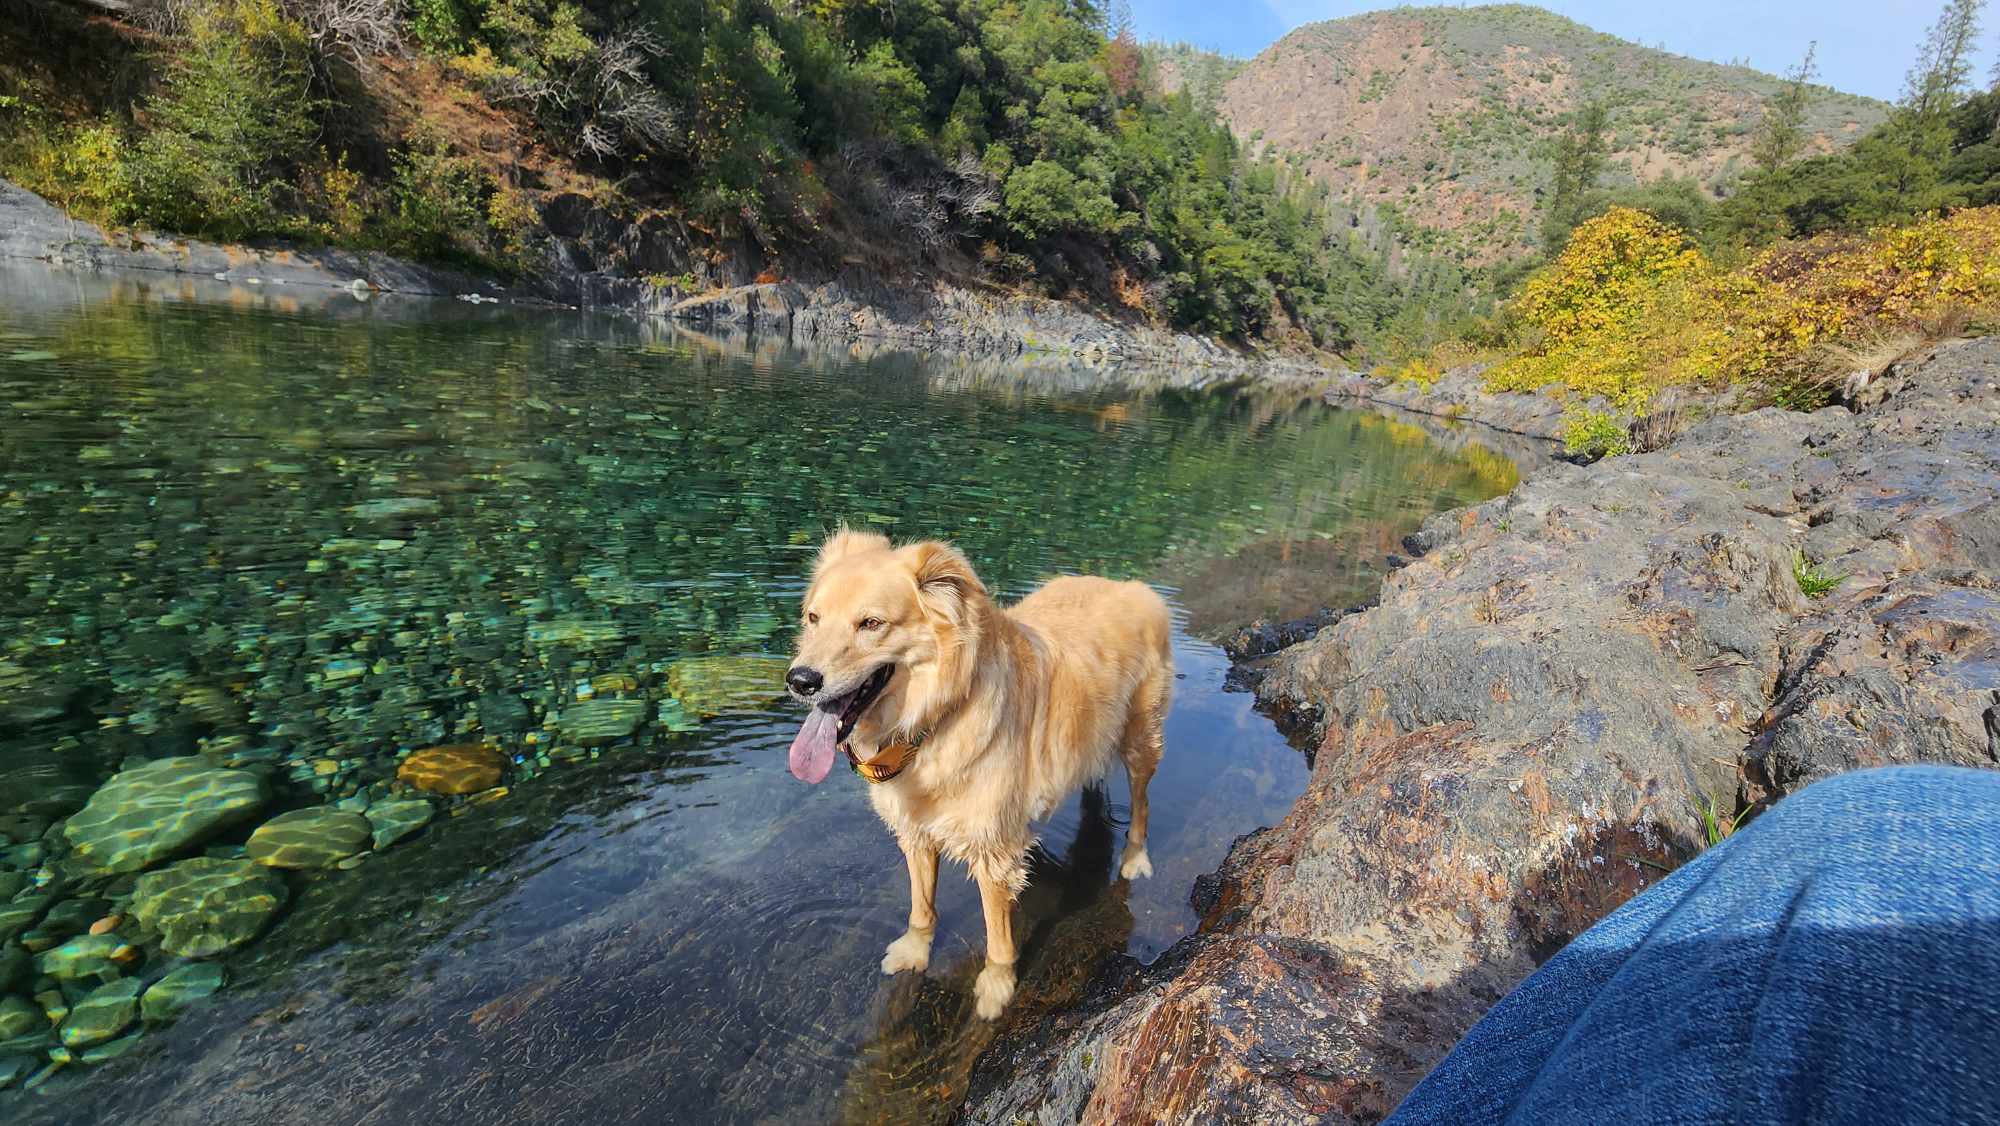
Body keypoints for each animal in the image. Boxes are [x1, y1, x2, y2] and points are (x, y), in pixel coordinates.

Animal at [784, 530, 1171, 1019]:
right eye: (813, 618)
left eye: (871, 623)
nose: (800, 680)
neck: (934, 717)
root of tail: (1131, 586)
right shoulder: (916, 830)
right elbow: (922, 907)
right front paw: (915, 952)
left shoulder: (993, 851)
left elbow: (999, 937)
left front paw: (996, 988)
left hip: (1141, 737)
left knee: (1142, 800)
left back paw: (1135, 857)